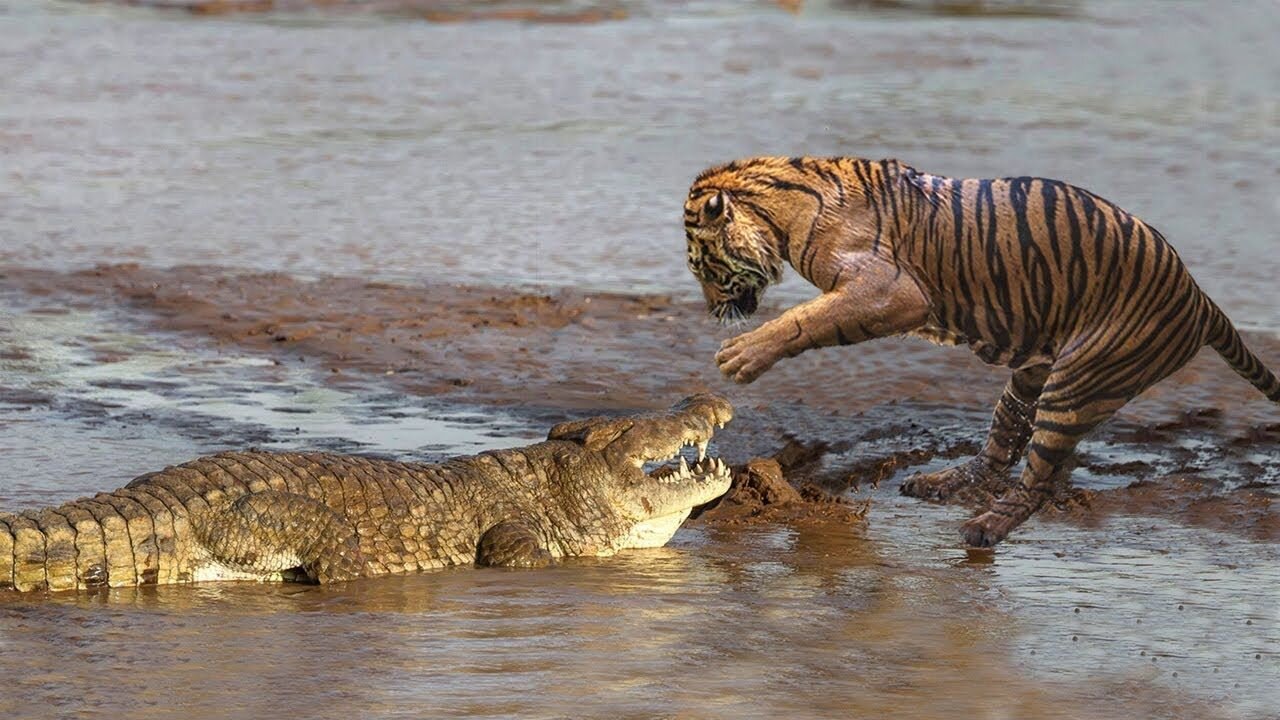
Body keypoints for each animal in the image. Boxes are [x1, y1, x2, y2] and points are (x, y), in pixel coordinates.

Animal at [686, 155, 1280, 543]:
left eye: (703, 267)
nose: (713, 311)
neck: (779, 209)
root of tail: (1201, 299)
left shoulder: (893, 292)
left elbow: (807, 319)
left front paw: (741, 356)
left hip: (1076, 386)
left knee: (1035, 480)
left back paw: (984, 528)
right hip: (1033, 376)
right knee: (1000, 448)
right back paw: (940, 484)